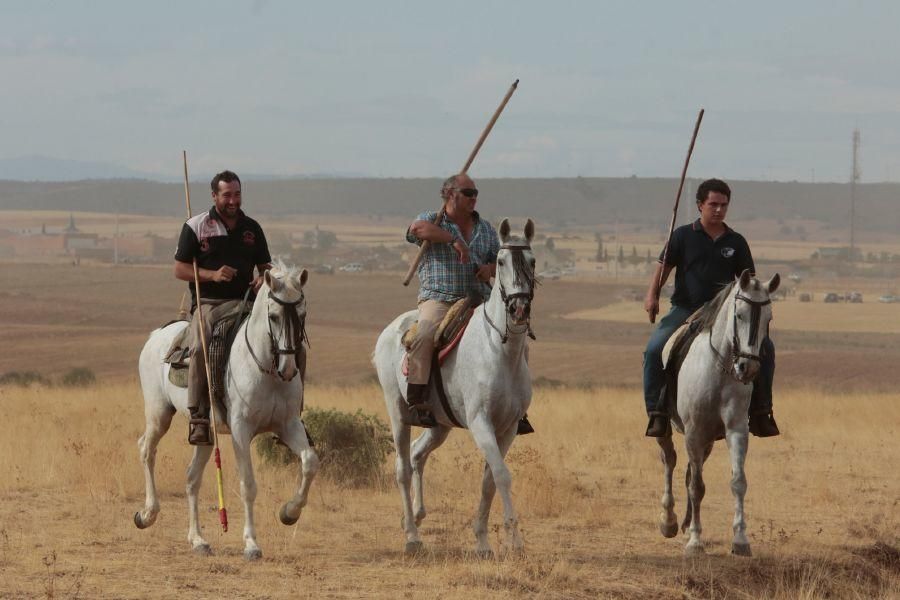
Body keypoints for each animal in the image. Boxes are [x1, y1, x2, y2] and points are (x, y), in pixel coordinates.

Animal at [132, 264, 318, 560]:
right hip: (158, 414)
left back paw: (198, 540)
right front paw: (251, 544)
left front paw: (289, 512)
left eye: (302, 314)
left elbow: (310, 462)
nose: (288, 369)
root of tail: (158, 334)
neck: (266, 369)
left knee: (191, 478)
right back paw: (147, 514)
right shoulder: (241, 430)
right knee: (146, 450)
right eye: (274, 316)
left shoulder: (289, 425)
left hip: (206, 434)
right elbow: (248, 485)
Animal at [372, 219, 536, 556]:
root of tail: (389, 331)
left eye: (533, 261)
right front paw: (515, 539)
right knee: (402, 468)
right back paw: (411, 536)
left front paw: (483, 541)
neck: (499, 351)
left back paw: (418, 515)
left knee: (417, 454)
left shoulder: (509, 427)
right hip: (397, 413)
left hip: (438, 424)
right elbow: (502, 475)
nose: (519, 308)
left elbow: (489, 481)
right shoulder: (480, 422)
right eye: (501, 261)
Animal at [652, 268, 780, 556]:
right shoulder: (693, 432)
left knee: (690, 469)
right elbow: (697, 486)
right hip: (670, 431)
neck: (720, 370)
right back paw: (668, 521)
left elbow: (738, 482)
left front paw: (741, 540)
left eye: (769, 318)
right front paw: (695, 542)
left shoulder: (736, 430)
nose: (748, 368)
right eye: (739, 315)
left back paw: (685, 523)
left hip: (708, 440)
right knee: (669, 461)